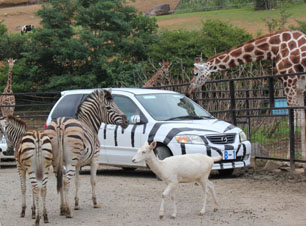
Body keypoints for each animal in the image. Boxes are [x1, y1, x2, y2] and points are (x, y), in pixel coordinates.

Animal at [44, 89, 128, 218]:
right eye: (108, 107)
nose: (127, 121)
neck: (89, 124)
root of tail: (60, 124)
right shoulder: (95, 159)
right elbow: (93, 181)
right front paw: (95, 202)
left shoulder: (78, 164)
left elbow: (77, 182)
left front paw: (77, 204)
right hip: (71, 161)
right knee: (65, 181)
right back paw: (68, 211)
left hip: (56, 161)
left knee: (60, 181)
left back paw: (62, 209)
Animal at [186, 30, 306, 171]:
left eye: (196, 74)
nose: (189, 90)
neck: (274, 48)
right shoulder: (299, 88)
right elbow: (301, 121)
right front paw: (302, 160)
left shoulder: (289, 82)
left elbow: (293, 121)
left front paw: (289, 161)